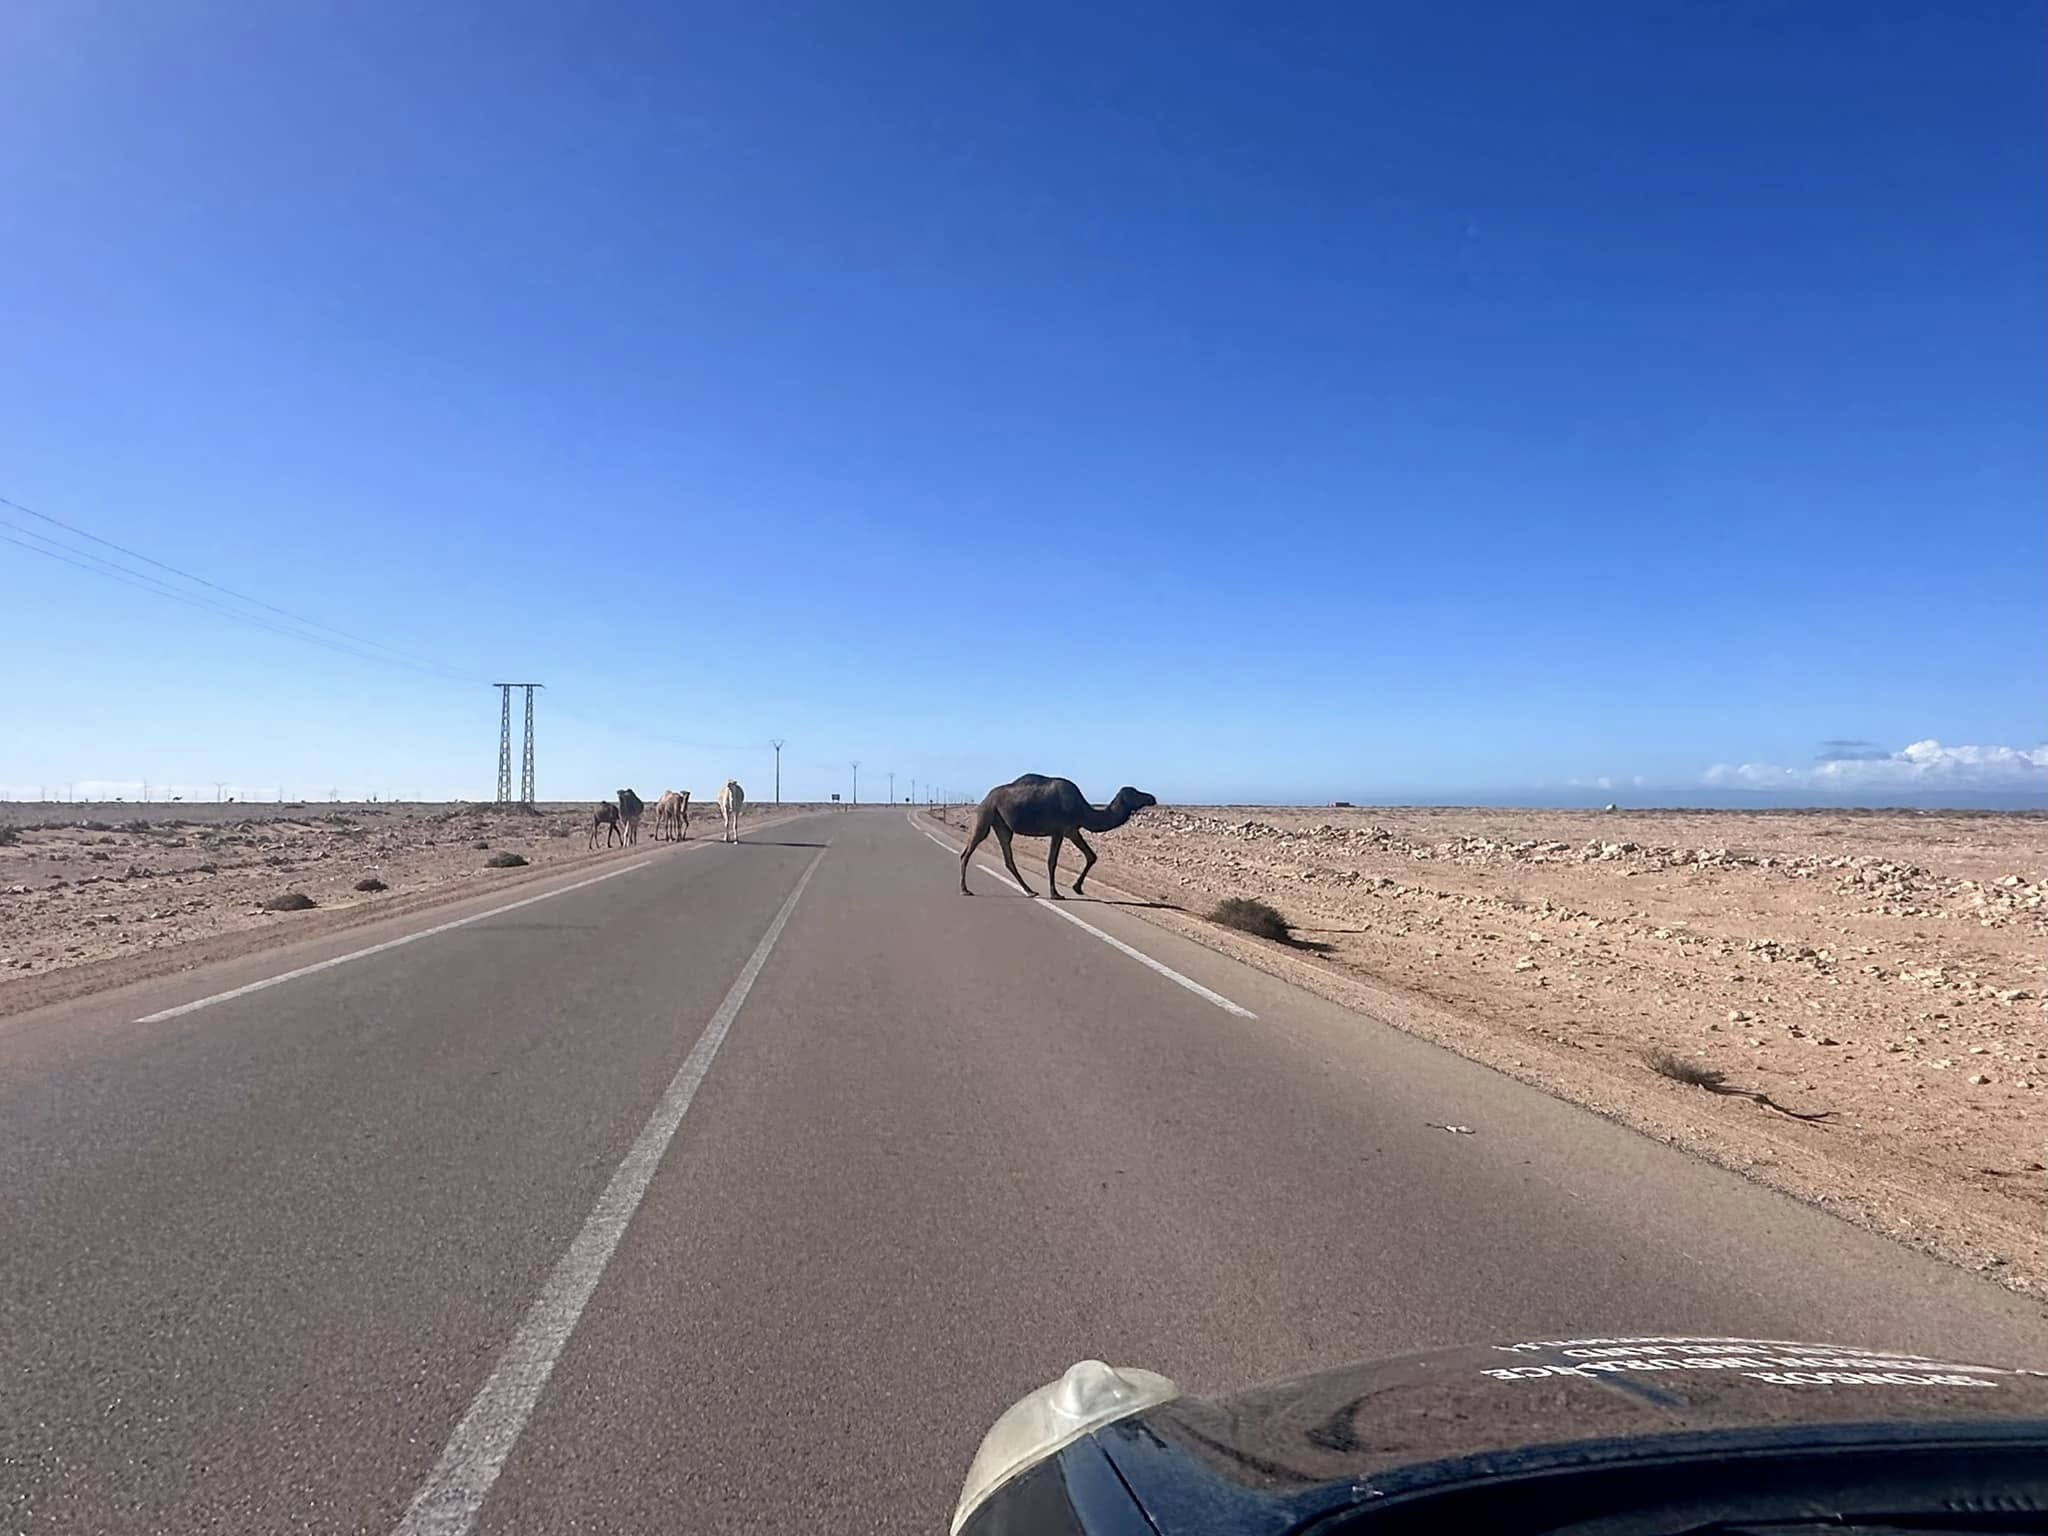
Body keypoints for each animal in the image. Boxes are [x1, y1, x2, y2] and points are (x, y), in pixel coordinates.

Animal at [960, 774, 1157, 898]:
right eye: (1135, 792)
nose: (1152, 798)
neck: (1082, 809)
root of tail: (985, 798)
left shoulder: (1071, 830)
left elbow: (1091, 856)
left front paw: (1077, 888)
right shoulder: (1059, 831)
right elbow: (1052, 861)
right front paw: (1056, 894)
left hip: (1002, 826)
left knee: (1008, 858)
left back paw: (1030, 891)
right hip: (986, 815)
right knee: (968, 851)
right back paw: (965, 890)